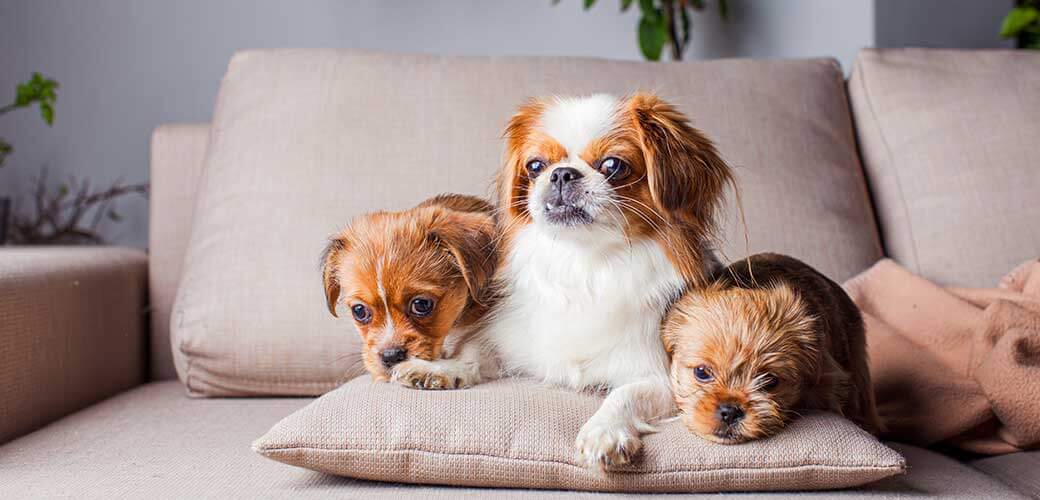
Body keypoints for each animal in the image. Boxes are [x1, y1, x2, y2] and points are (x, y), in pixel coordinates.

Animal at [484, 92, 732, 467]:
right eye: (536, 166)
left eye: (613, 166)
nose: (561, 174)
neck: (587, 262)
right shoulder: (515, 340)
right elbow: (477, 351)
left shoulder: (664, 377)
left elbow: (625, 394)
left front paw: (604, 431)